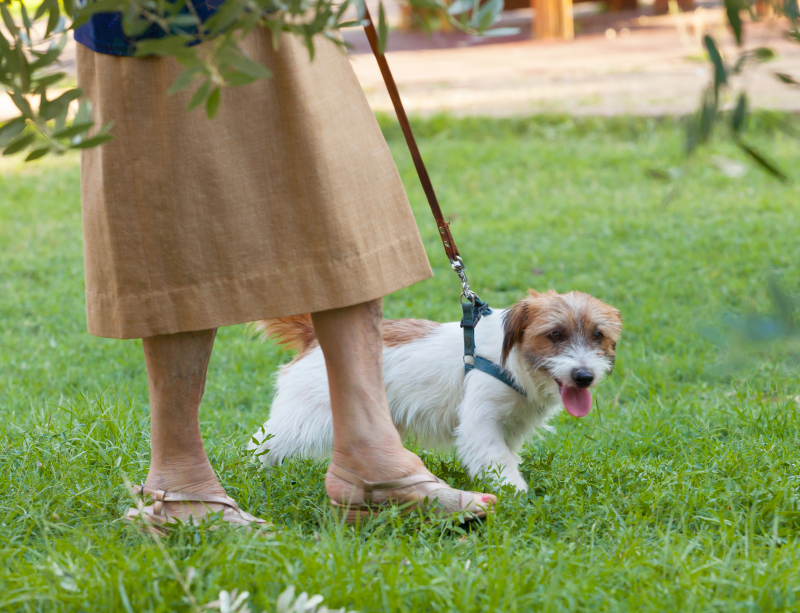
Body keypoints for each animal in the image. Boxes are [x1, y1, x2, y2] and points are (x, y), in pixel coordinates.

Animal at [247, 290, 620, 492]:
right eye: (555, 335)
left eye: (598, 335)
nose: (584, 376)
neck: (512, 360)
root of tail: (314, 338)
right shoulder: (481, 421)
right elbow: (495, 458)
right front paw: (516, 492)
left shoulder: (510, 427)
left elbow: (504, 456)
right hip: (305, 417)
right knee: (261, 443)